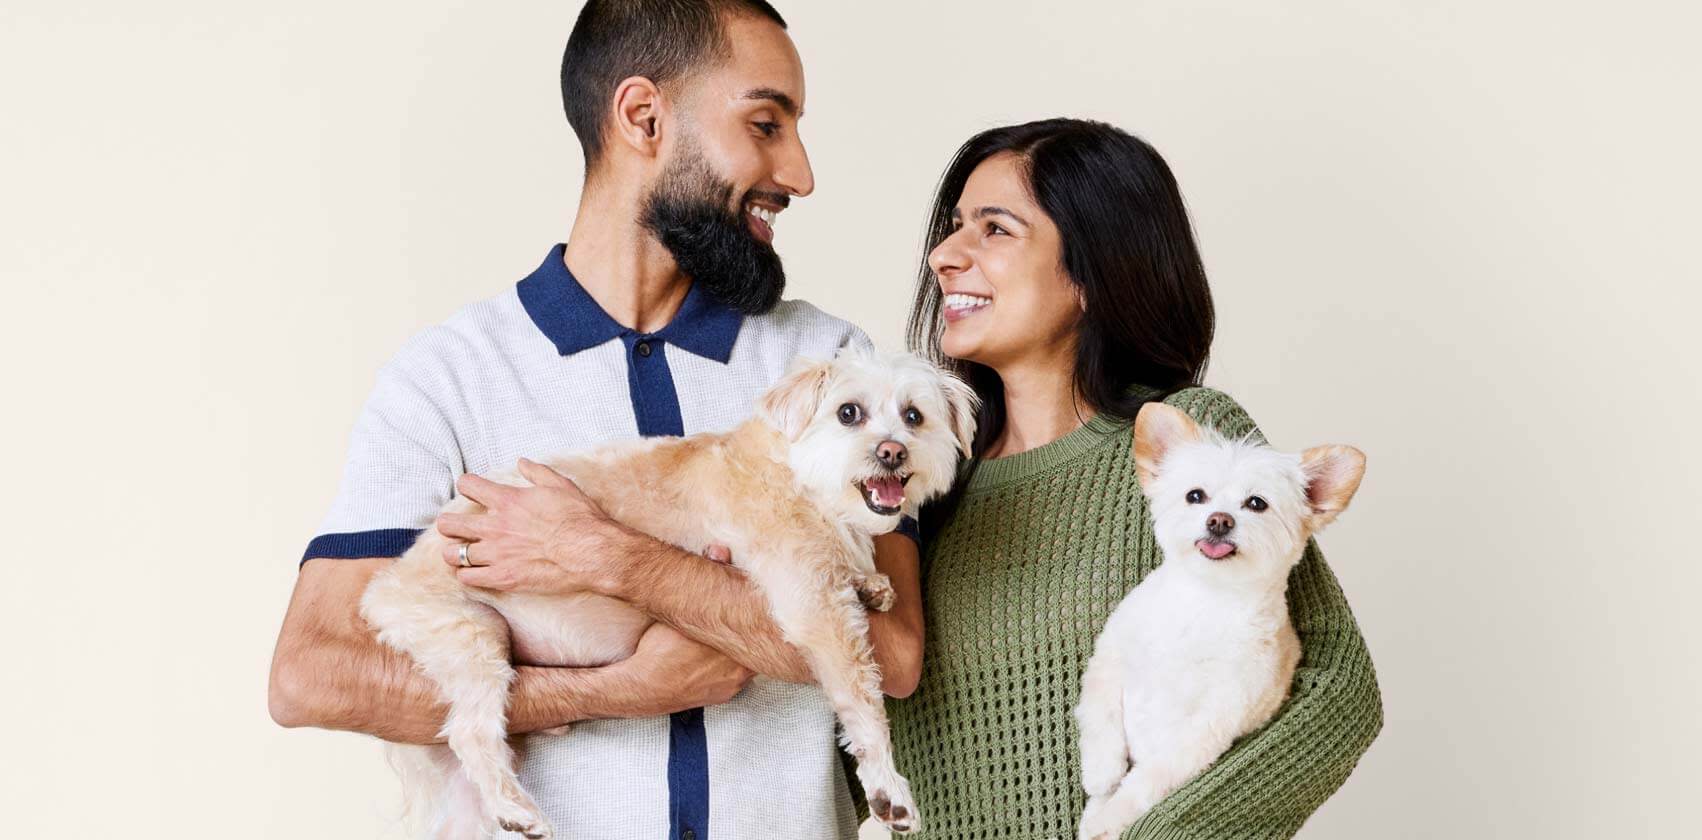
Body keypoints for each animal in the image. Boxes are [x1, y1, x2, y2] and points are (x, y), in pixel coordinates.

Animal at [359, 350, 973, 840]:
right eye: (849, 413)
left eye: (914, 416)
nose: (893, 452)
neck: (800, 473)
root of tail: (382, 592)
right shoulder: (810, 603)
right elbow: (862, 698)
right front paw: (887, 787)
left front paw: (870, 582)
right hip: (471, 632)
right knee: (470, 730)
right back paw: (518, 809)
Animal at [1075, 402, 1368, 836]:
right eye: (1195, 496)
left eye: (1257, 503)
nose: (1219, 520)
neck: (1206, 601)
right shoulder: (1110, 657)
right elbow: (1100, 711)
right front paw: (1101, 771)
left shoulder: (1208, 725)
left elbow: (1148, 781)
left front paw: (1109, 818)